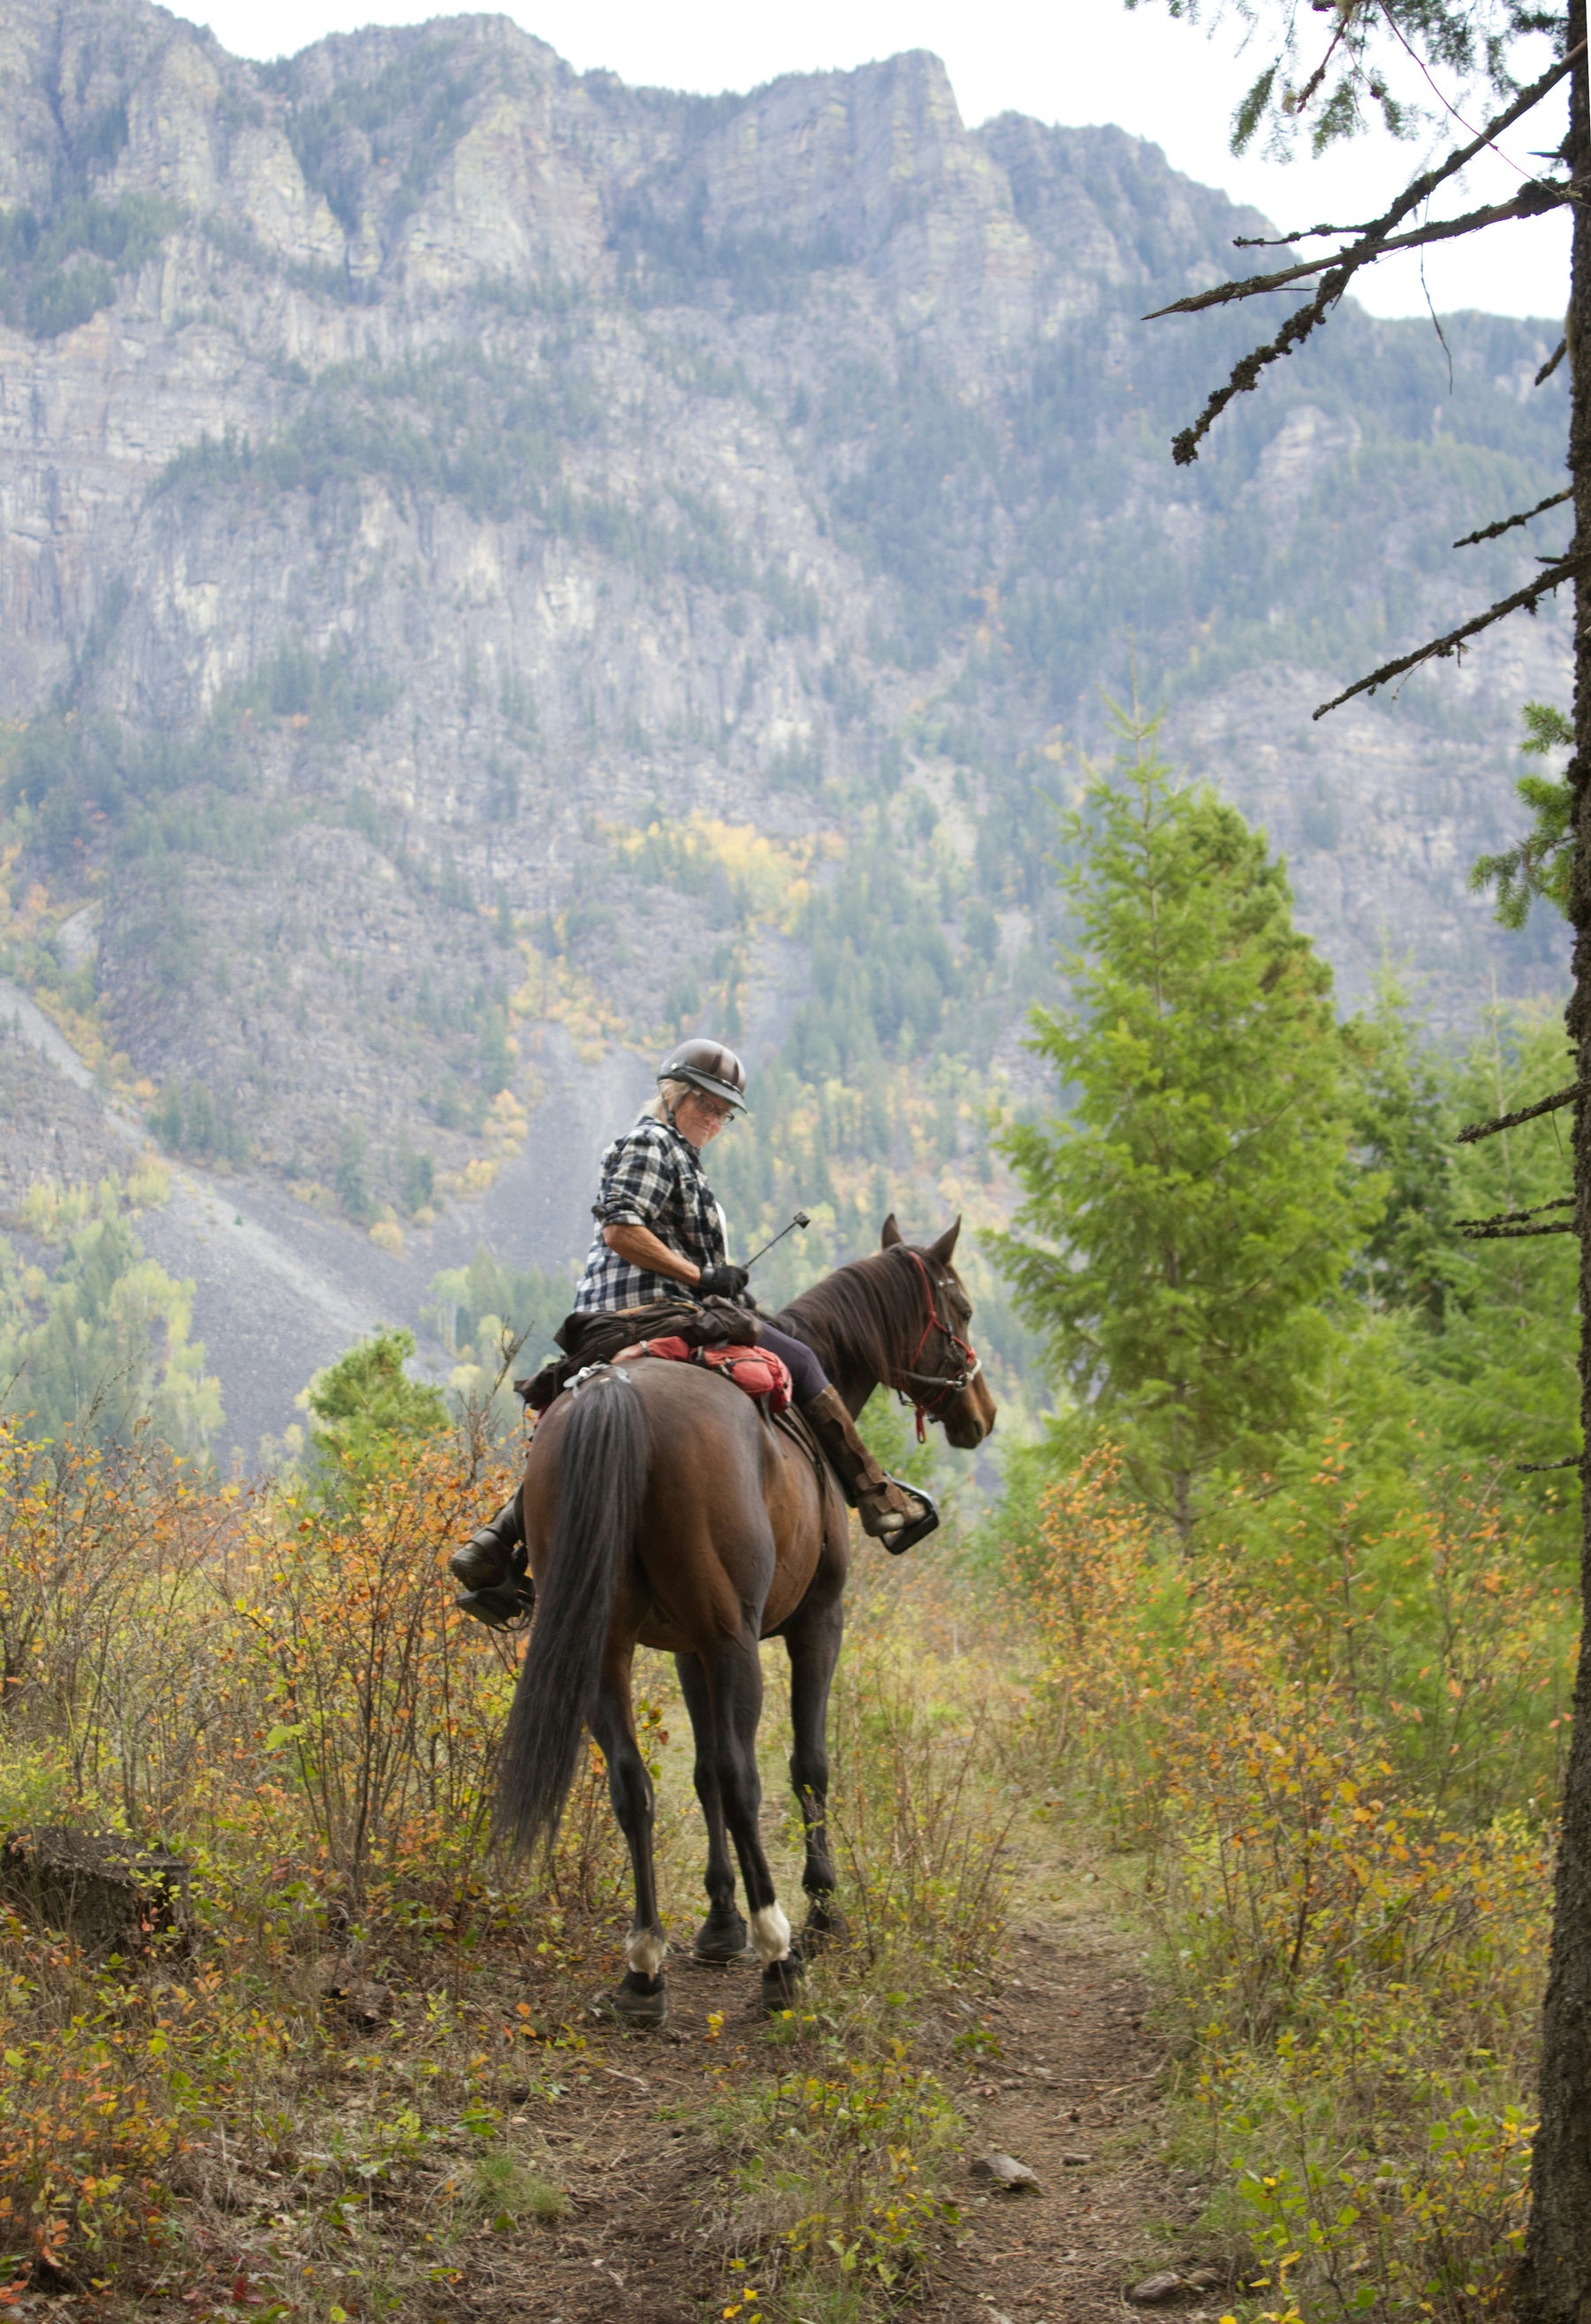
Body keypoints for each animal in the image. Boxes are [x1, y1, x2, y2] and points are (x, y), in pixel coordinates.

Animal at [491, 1218, 1000, 2016]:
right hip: (735, 1641)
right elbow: (805, 1764)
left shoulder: (685, 1649)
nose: (982, 1413)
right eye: (965, 1309)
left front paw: (719, 1921)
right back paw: (778, 1954)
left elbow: (697, 1773)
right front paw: (821, 1911)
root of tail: (619, 1393)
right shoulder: (813, 1623)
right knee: (741, 1778)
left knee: (633, 1783)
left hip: (607, 1648)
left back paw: (645, 1968)